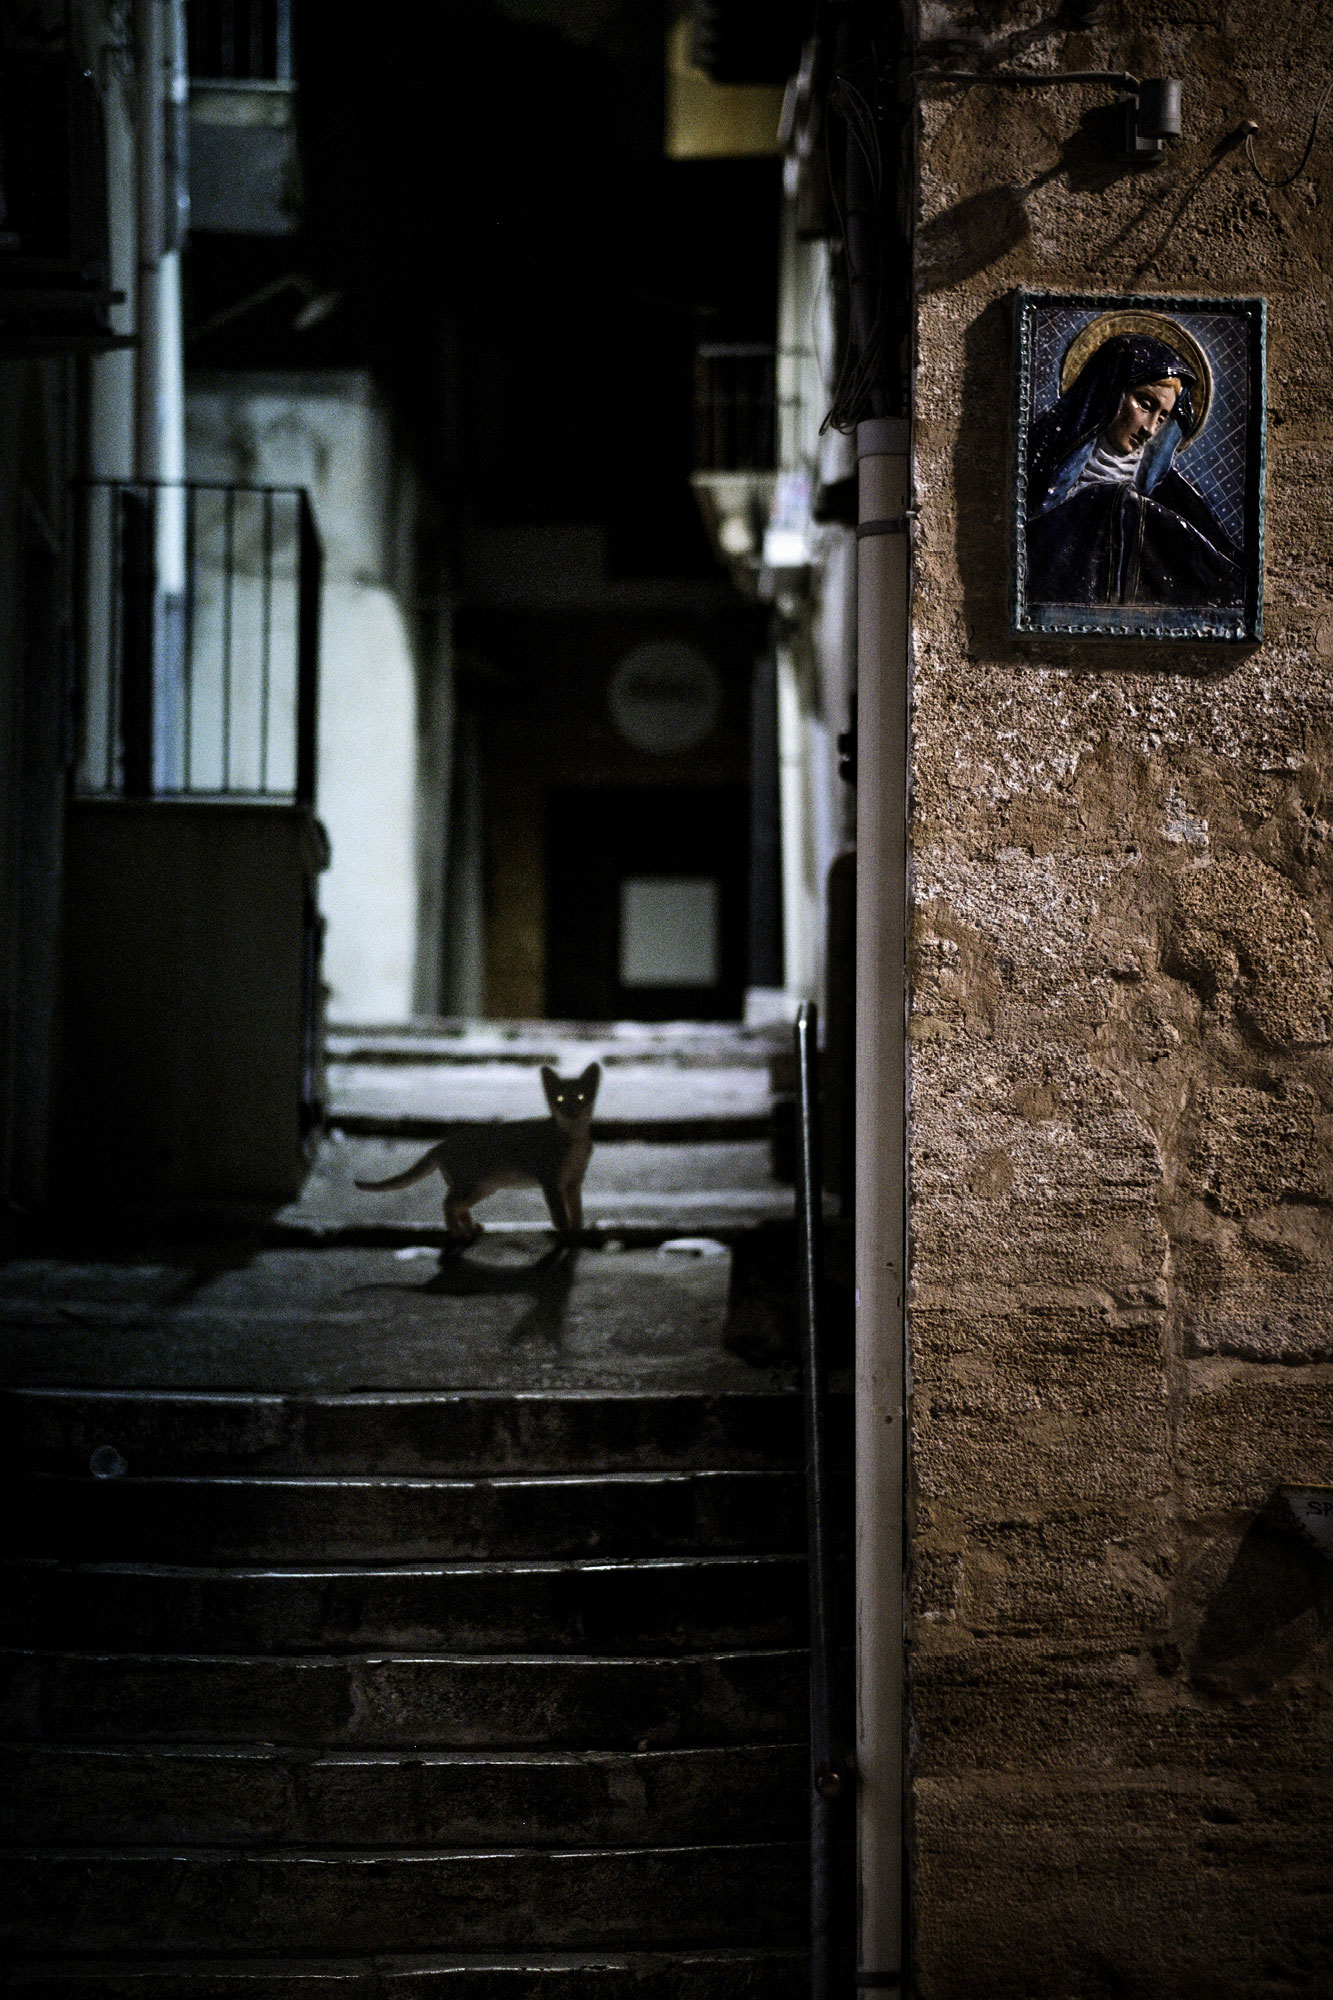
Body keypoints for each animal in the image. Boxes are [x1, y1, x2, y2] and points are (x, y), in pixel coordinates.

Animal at [356, 1056, 600, 1240]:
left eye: (580, 1096)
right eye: (559, 1098)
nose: (570, 1109)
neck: (575, 1137)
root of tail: (442, 1144)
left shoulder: (574, 1181)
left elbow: (576, 1209)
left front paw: (578, 1230)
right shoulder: (550, 1181)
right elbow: (560, 1214)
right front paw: (566, 1233)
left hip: (481, 1187)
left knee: (459, 1206)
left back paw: (471, 1229)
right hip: (470, 1185)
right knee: (448, 1203)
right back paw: (457, 1233)